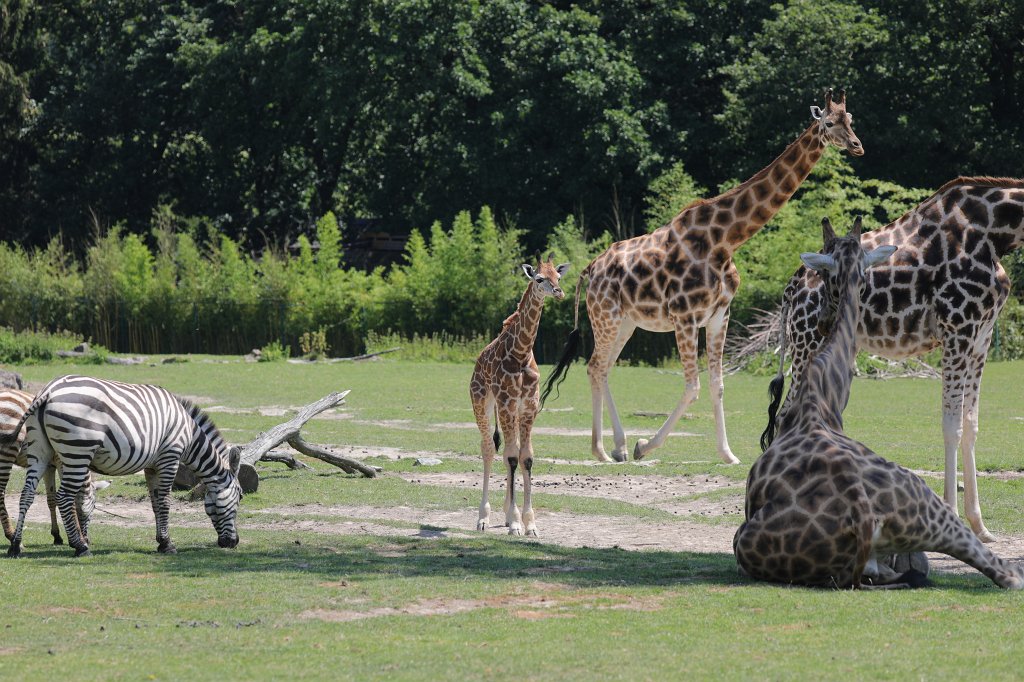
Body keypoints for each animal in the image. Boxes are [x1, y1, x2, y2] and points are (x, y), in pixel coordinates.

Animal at [471, 256, 569, 536]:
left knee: (505, 452)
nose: (559, 292)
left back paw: (503, 514)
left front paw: (529, 524)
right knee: (488, 449)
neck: (521, 353)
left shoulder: (528, 408)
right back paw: (483, 518)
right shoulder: (506, 404)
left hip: (509, 413)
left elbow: (526, 458)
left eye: (559, 277)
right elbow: (513, 456)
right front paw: (516, 523)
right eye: (539, 279)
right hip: (482, 402)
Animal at [542, 88, 863, 463]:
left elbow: (717, 384)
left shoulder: (719, 315)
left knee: (601, 367)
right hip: (605, 316)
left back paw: (616, 446)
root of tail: (588, 271)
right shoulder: (685, 317)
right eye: (829, 122)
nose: (857, 145)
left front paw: (727, 454)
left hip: (625, 321)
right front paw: (644, 445)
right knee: (595, 366)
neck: (726, 239)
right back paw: (603, 450)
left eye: (850, 119)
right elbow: (692, 386)